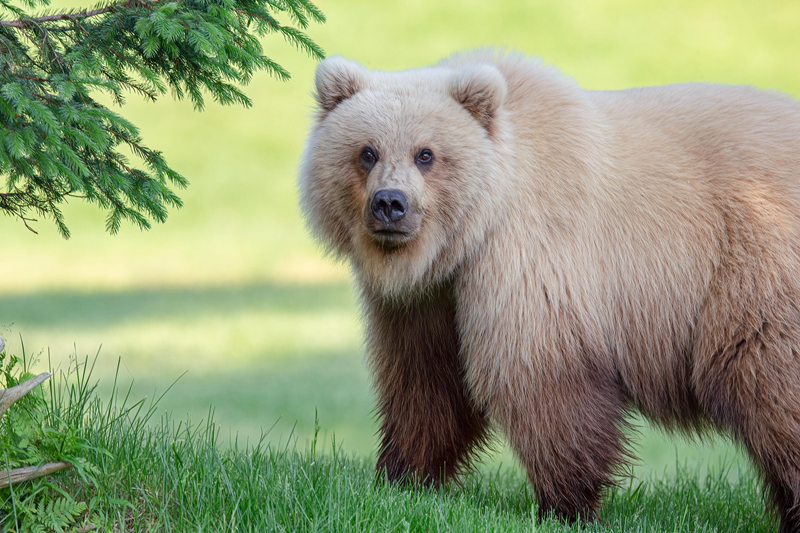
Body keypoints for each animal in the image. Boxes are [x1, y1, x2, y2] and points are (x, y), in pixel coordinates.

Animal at [296, 48, 800, 528]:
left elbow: (540, 378)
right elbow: (425, 380)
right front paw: (402, 478)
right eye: (367, 151)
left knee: (769, 382)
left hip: (754, 266)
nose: (390, 204)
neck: (465, 238)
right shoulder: (427, 300)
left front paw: (567, 506)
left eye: (426, 153)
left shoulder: (530, 253)